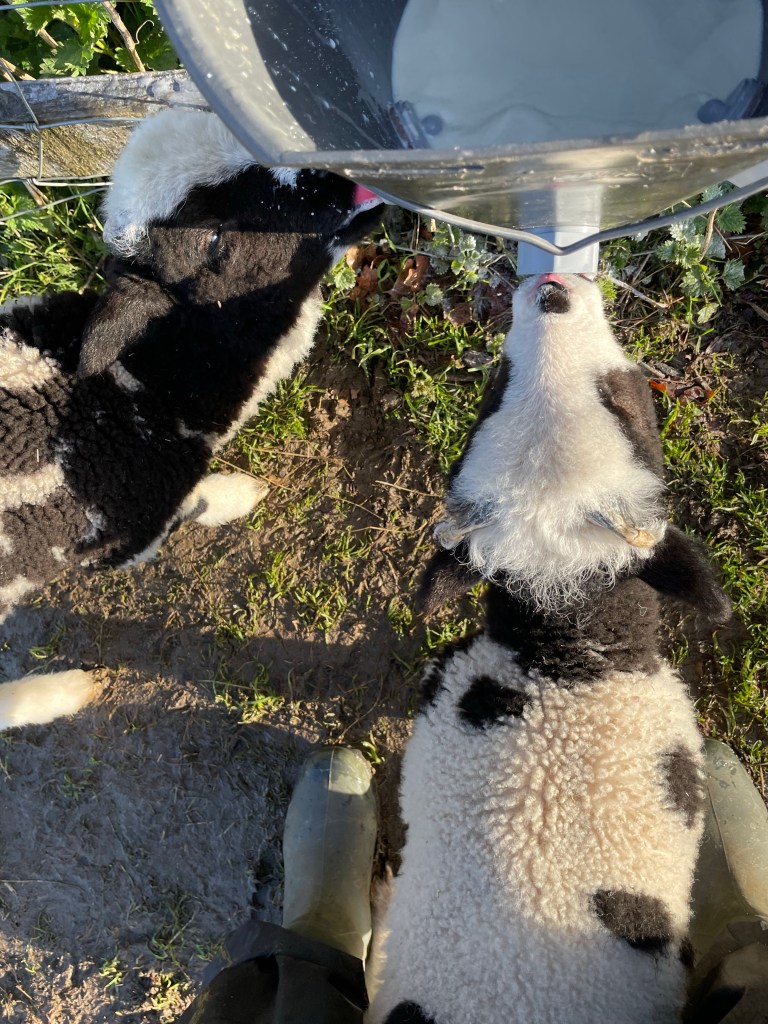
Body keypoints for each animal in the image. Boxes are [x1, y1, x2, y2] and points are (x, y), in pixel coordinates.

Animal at [0, 109, 382, 730]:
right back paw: (60, 693)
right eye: (214, 241)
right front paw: (235, 496)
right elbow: (189, 507)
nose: (340, 169)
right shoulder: (123, 533)